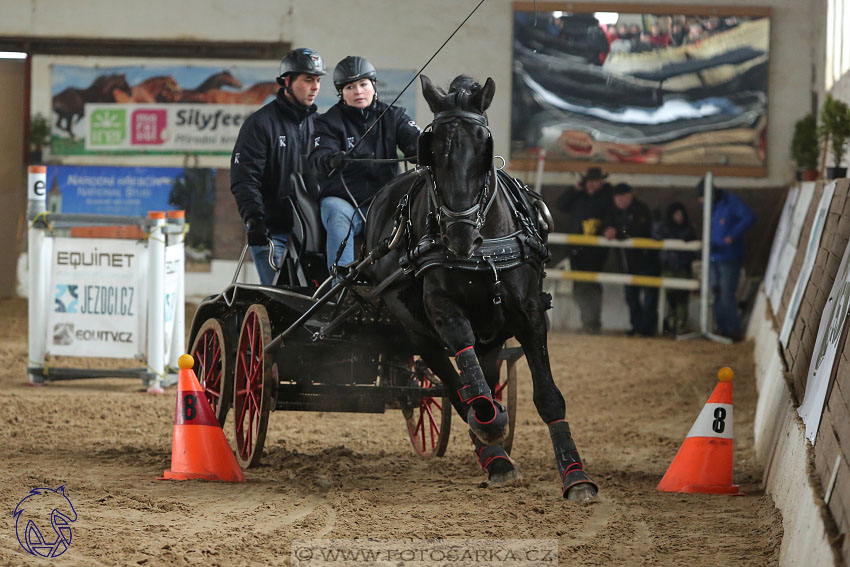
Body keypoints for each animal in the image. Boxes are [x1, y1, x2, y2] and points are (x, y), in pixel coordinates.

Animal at [364, 74, 596, 502]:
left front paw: (576, 476)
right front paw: (491, 425)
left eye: (484, 146)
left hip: (493, 335)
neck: (480, 250)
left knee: (481, 378)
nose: (459, 235)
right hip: (417, 331)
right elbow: (470, 390)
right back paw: (495, 455)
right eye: (431, 149)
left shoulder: (529, 314)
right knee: (458, 388)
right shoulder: (443, 311)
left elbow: (547, 396)